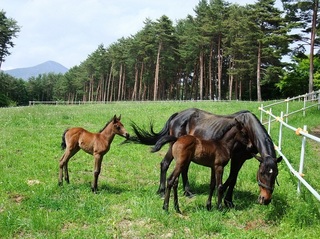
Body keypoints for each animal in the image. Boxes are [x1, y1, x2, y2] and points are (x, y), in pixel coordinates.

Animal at [130, 108, 282, 207]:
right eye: (261, 173)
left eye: (275, 175)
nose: (265, 199)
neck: (249, 127)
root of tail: (177, 115)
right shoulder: (236, 157)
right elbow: (231, 179)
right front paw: (225, 200)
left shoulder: (242, 159)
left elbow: (232, 179)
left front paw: (226, 200)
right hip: (173, 146)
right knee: (165, 164)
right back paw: (161, 191)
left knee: (183, 169)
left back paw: (188, 192)